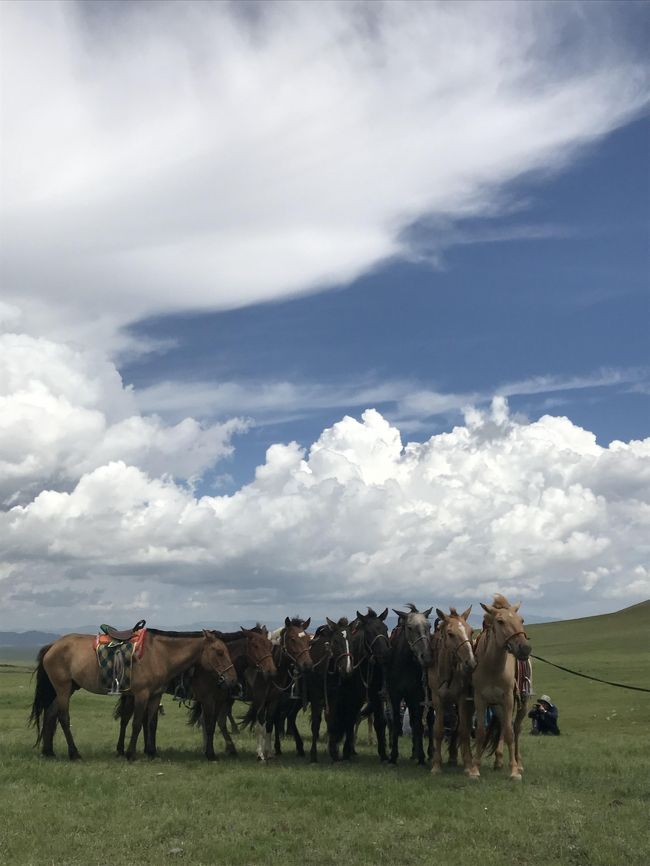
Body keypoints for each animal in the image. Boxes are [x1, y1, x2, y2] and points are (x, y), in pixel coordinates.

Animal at [29, 624, 235, 760]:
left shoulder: (155, 695)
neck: (160, 654)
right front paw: (130, 753)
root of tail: (53, 645)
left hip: (69, 687)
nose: (232, 680)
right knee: (63, 717)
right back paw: (74, 753)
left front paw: (151, 752)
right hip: (63, 687)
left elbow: (151, 723)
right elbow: (136, 724)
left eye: (226, 650)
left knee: (51, 713)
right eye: (219, 652)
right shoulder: (141, 694)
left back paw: (48, 751)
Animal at [384, 600, 430, 764]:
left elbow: (418, 725)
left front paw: (421, 757)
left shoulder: (418, 696)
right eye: (409, 627)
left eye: (428, 627)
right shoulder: (395, 696)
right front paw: (393, 756)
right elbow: (397, 724)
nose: (426, 656)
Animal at [426, 604, 476, 772]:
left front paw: (468, 767)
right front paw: (436, 766)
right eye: (450, 633)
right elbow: (438, 730)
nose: (471, 663)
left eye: (471, 631)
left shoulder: (462, 699)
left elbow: (464, 731)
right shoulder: (438, 700)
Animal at [466, 592, 532, 780]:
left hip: (522, 702)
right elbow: (481, 732)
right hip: (497, 705)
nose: (525, 648)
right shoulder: (480, 700)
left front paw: (514, 771)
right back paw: (499, 760)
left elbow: (510, 732)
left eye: (521, 620)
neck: (493, 667)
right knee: (503, 725)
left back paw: (518, 763)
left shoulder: (508, 698)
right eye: (500, 621)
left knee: (515, 729)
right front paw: (475, 769)